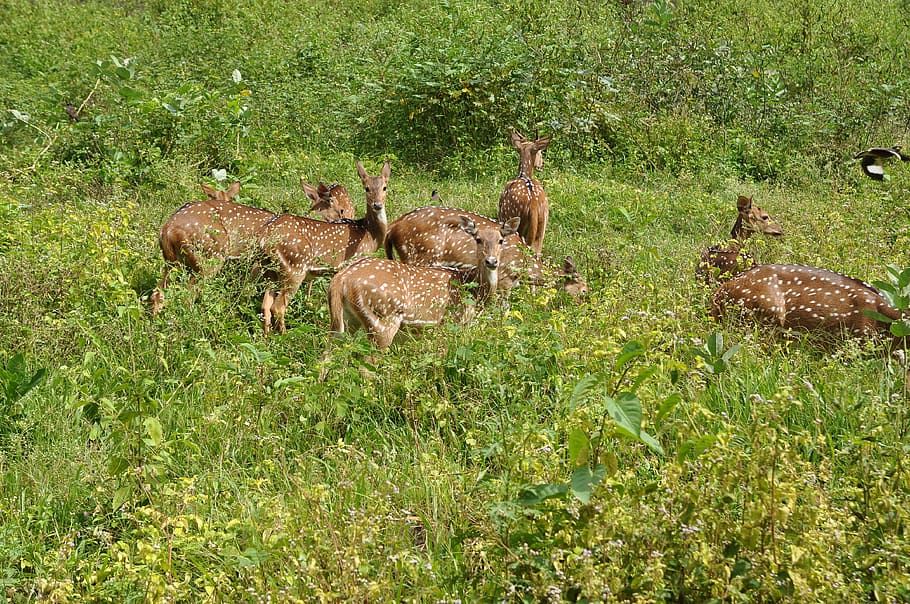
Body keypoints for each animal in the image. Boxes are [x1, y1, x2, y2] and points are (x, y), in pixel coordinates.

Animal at [150, 182, 276, 315]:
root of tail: (168, 228)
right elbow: (248, 289)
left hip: (171, 262)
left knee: (158, 292)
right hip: (211, 256)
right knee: (188, 295)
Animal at [258, 161, 390, 335]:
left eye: (385, 187)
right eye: (366, 188)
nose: (377, 205)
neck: (369, 234)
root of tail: (265, 236)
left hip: (270, 270)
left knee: (265, 305)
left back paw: (267, 336)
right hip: (294, 266)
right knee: (278, 307)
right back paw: (285, 335)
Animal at [328, 216, 518, 349]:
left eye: (501, 240)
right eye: (478, 239)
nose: (491, 261)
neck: (473, 288)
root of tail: (340, 279)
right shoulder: (450, 322)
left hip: (346, 320)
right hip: (382, 317)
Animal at [384, 205, 587, 298]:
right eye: (584, 290)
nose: (585, 304)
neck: (524, 268)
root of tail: (393, 227)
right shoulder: (504, 279)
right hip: (417, 256)